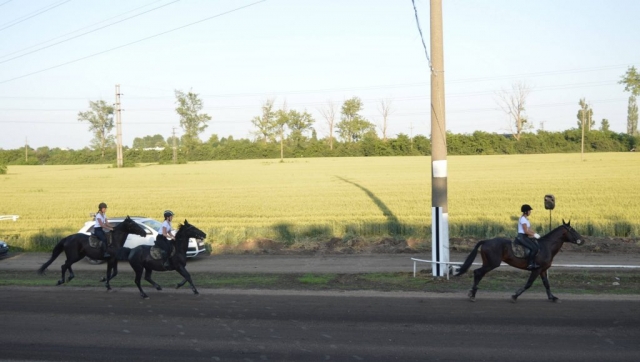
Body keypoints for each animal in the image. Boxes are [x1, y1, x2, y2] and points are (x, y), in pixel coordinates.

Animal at [456, 221, 584, 302]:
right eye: (573, 230)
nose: (582, 240)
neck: (546, 246)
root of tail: (486, 241)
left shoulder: (543, 270)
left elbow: (546, 284)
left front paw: (552, 298)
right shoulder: (536, 269)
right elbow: (529, 284)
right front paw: (515, 296)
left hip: (488, 263)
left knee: (478, 273)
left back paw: (472, 293)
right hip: (492, 264)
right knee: (478, 272)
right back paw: (472, 294)